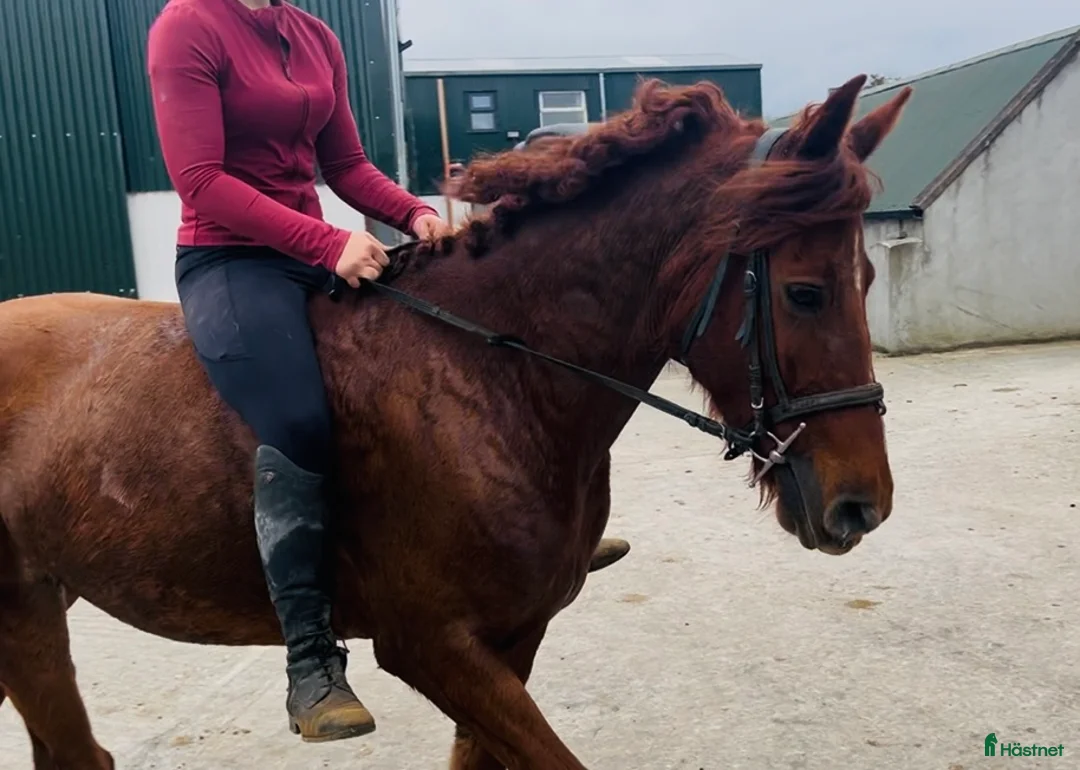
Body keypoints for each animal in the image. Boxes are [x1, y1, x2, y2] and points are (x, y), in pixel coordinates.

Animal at [0, 74, 911, 769]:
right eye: (804, 292)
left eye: (868, 276)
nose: (861, 506)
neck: (495, 374)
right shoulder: (432, 644)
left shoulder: (514, 635)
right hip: (23, 614)